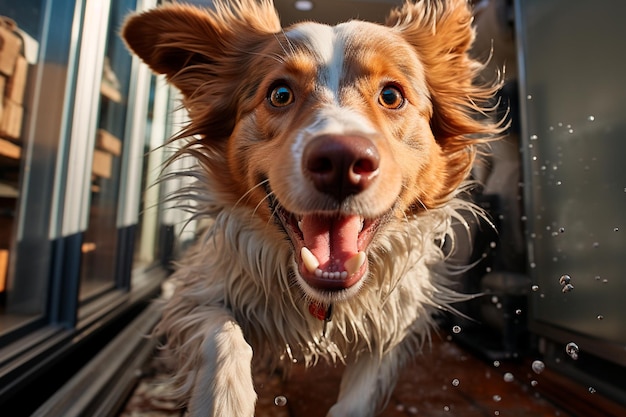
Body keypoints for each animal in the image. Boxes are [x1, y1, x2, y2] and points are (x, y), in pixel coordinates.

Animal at [122, 1, 502, 414]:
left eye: (391, 95)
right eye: (280, 93)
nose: (340, 160)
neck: (323, 304)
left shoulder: (395, 326)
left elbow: (359, 400)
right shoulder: (196, 288)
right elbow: (221, 334)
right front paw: (224, 400)